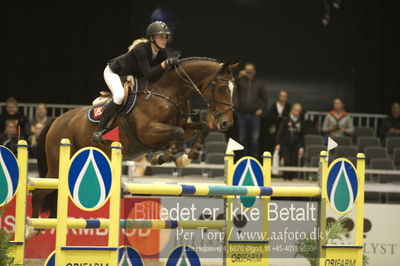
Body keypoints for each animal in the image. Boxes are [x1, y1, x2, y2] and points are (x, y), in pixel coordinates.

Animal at [32, 57, 238, 236]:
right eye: (221, 87)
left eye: (233, 88)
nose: (227, 123)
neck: (169, 92)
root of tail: (56, 120)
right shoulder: (148, 131)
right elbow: (178, 133)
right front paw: (165, 156)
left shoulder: (183, 126)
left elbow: (200, 128)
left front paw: (186, 157)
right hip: (57, 166)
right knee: (38, 192)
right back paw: (31, 227)